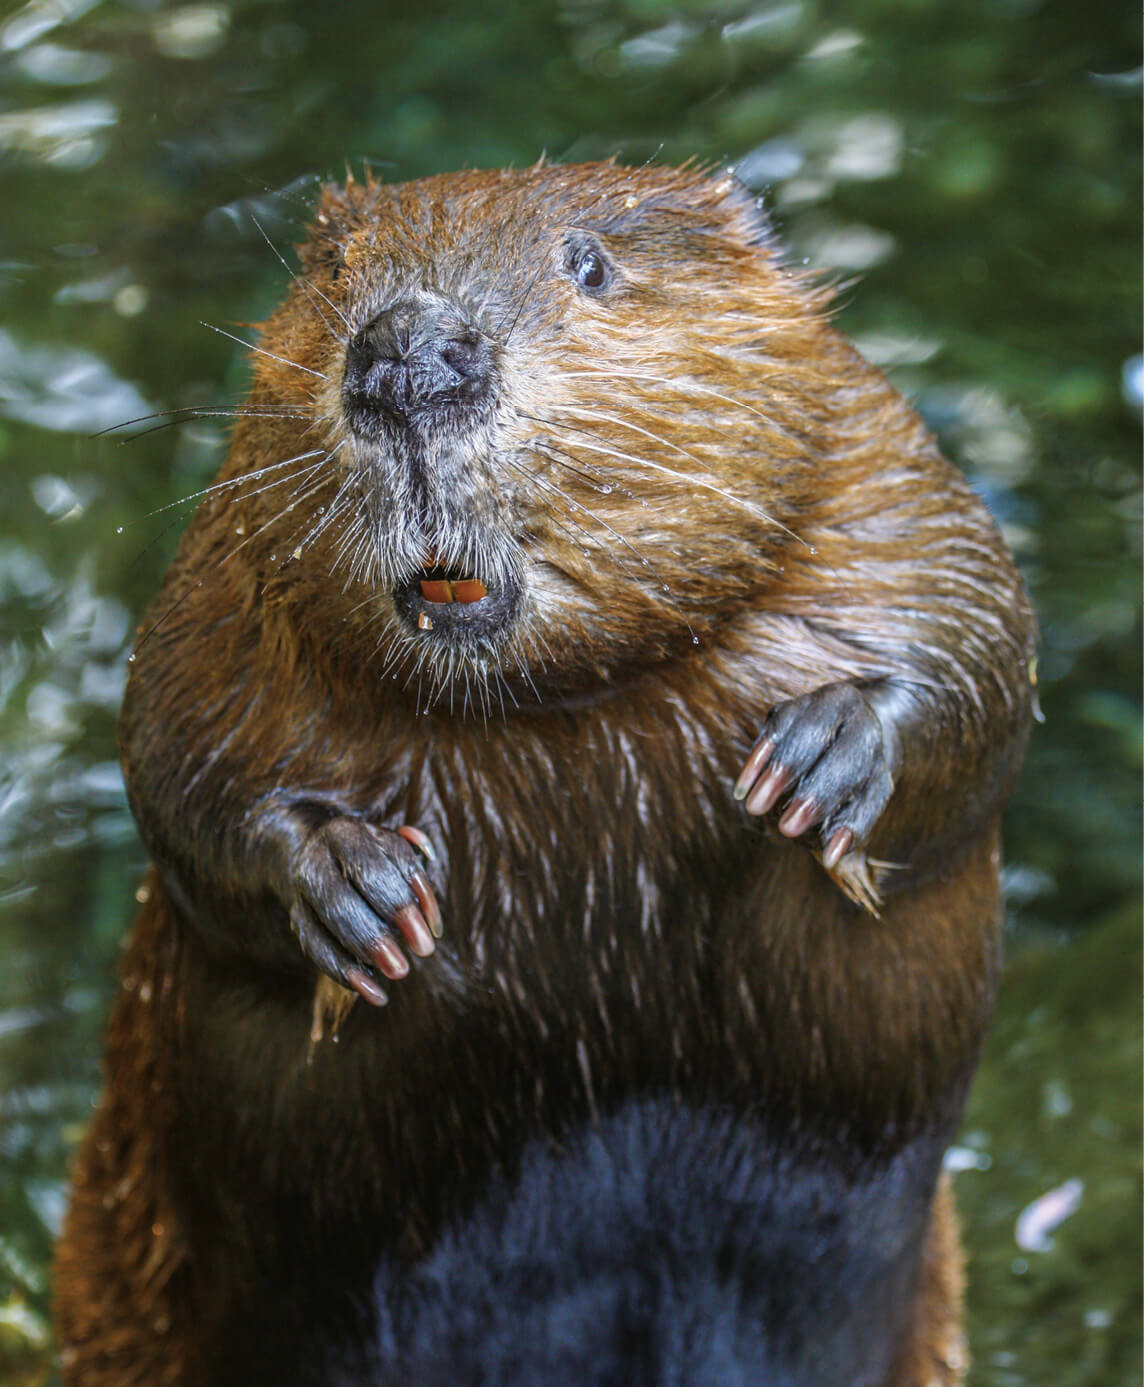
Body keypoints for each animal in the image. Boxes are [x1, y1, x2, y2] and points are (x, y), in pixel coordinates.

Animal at [51, 157, 1037, 1381]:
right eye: (333, 268)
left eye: (592, 263)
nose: (409, 354)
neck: (557, 704)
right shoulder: (223, 578)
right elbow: (174, 758)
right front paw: (367, 891)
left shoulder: (869, 457)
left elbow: (978, 621)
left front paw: (818, 757)